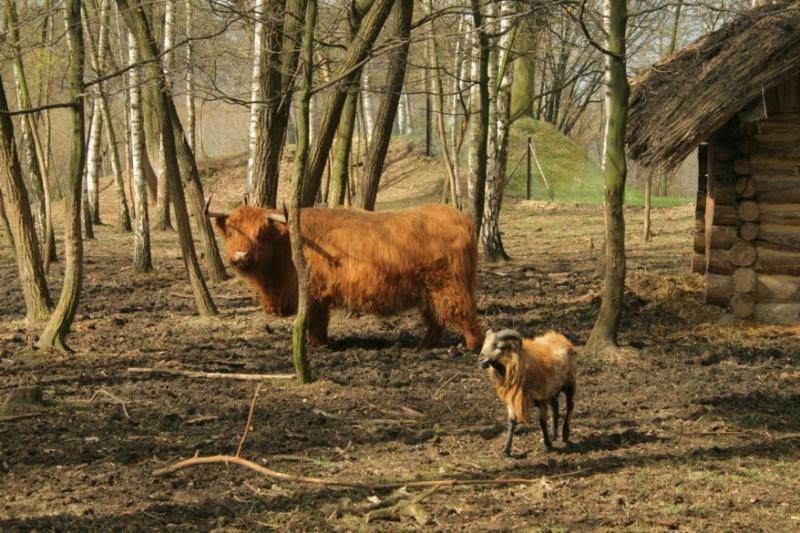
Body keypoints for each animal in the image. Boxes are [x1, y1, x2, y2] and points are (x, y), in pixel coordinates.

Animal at [209, 204, 482, 350]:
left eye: (261, 233)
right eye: (231, 232)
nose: (241, 255)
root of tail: (460, 217)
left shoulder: (314, 294)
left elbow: (316, 323)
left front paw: (318, 346)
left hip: (449, 285)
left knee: (463, 313)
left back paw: (472, 347)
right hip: (429, 291)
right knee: (435, 319)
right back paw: (424, 347)